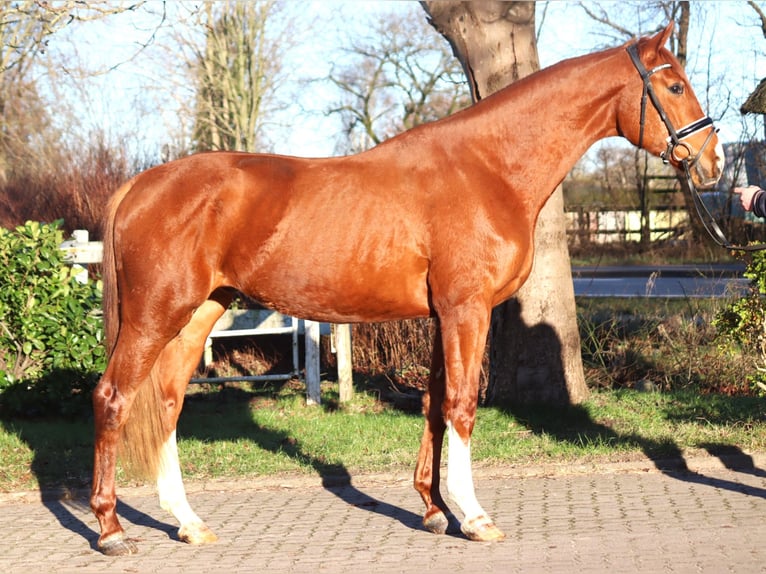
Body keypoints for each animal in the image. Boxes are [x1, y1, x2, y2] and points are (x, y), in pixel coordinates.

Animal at [91, 23, 728, 560]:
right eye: (673, 84)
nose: (713, 163)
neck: (488, 168)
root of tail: (139, 186)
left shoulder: (444, 315)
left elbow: (434, 403)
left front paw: (433, 509)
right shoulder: (467, 309)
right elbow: (462, 405)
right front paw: (474, 517)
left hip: (199, 313)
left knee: (167, 403)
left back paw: (188, 522)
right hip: (154, 315)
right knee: (114, 398)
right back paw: (112, 528)